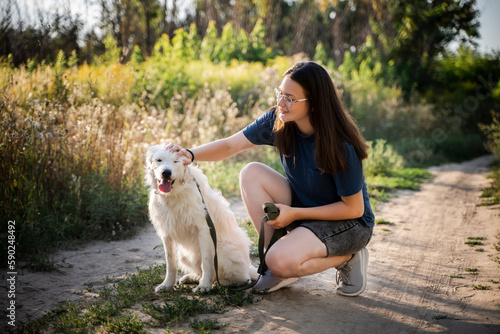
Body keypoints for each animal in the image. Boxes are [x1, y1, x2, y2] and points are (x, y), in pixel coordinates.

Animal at [144, 146, 254, 292]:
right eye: (159, 160)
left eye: (176, 161)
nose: (166, 173)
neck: (174, 195)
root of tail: (248, 268)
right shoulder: (166, 233)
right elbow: (170, 263)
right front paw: (167, 284)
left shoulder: (203, 229)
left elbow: (206, 262)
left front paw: (204, 286)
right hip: (184, 255)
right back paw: (193, 277)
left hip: (221, 251)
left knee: (238, 278)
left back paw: (221, 283)